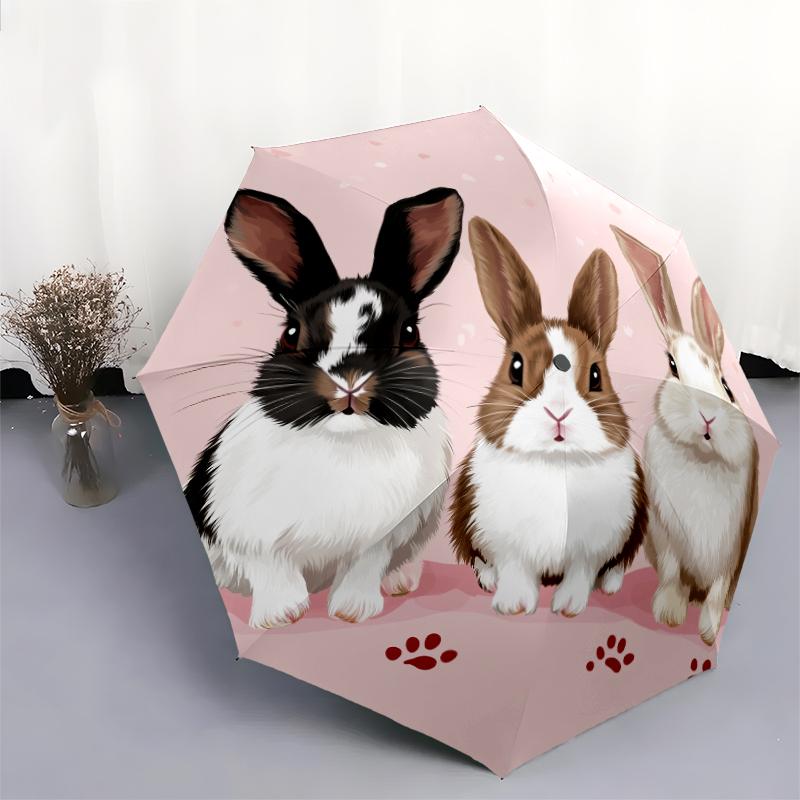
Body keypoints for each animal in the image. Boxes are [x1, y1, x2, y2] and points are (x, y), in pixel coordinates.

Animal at [184, 187, 464, 628]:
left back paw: (401, 583)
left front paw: (353, 612)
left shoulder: (381, 540)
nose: (349, 378)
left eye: (409, 332)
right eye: (291, 333)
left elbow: (362, 570)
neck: (344, 445)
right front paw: (279, 617)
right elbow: (273, 572)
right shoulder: (252, 536)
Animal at [450, 217, 647, 617]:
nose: (559, 412)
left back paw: (611, 586)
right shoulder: (505, 543)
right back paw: (488, 580)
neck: (555, 462)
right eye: (516, 367)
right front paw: (512, 606)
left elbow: (580, 574)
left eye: (596, 375)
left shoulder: (593, 548)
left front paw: (568, 607)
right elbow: (514, 570)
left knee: (617, 564)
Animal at [611, 225, 759, 644]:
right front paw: (669, 614)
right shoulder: (670, 538)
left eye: (726, 385)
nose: (708, 415)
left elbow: (719, 588)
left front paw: (708, 631)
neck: (700, 456)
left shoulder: (730, 547)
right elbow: (673, 575)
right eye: (673, 366)